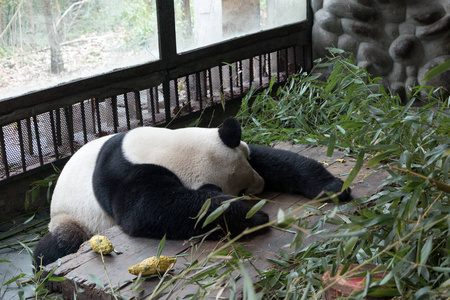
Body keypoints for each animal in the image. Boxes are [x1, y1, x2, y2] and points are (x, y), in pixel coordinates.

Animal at [34, 118, 352, 266]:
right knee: (59, 242)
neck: (168, 149)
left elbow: (276, 160)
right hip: (71, 216)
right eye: (242, 189)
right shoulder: (124, 175)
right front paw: (251, 216)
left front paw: (333, 187)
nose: (261, 187)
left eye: (250, 172)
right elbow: (147, 209)